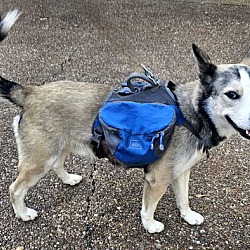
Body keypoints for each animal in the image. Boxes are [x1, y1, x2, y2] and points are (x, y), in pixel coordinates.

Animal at [0, 8, 250, 233]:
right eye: (232, 94)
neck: (191, 113)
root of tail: (30, 92)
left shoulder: (181, 172)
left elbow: (184, 199)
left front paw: (188, 216)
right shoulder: (158, 179)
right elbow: (149, 208)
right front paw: (150, 225)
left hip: (58, 148)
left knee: (57, 164)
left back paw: (68, 178)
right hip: (39, 160)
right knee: (15, 189)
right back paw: (23, 213)